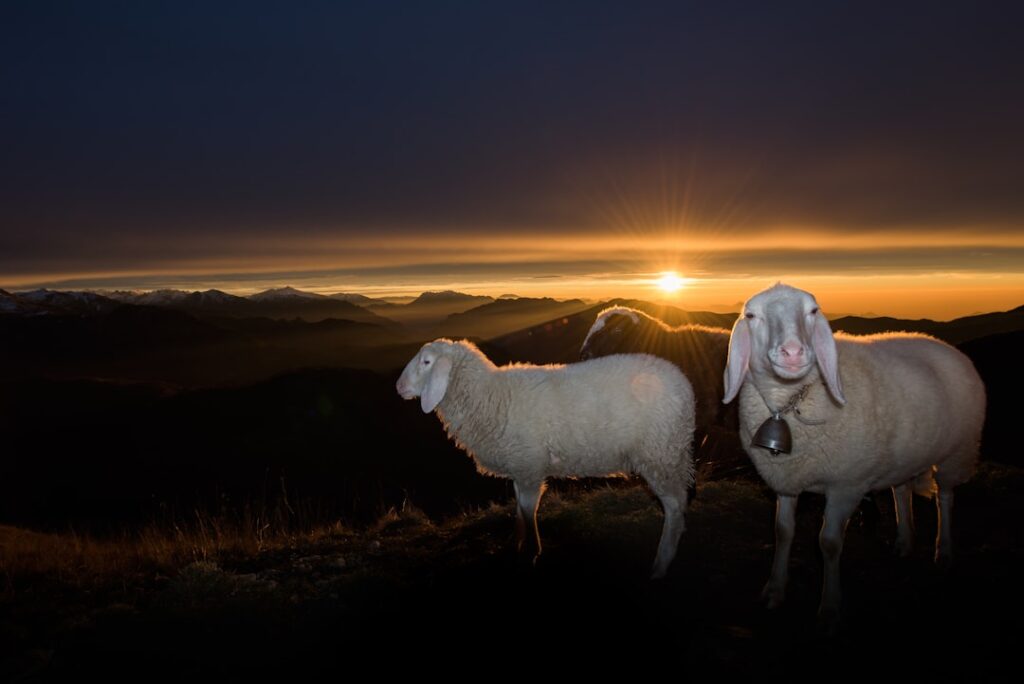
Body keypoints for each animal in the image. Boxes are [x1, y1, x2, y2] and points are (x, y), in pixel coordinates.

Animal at [396, 338, 696, 578]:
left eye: (426, 362)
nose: (398, 386)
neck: (491, 397)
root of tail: (684, 387)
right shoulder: (519, 466)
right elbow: (519, 508)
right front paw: (517, 543)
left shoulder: (530, 466)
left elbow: (529, 509)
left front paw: (531, 552)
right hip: (669, 453)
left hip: (660, 454)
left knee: (674, 505)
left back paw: (661, 562)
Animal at [722, 283, 985, 626]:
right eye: (751, 315)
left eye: (813, 311)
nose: (793, 352)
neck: (789, 402)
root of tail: (942, 344)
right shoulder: (787, 479)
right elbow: (783, 532)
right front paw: (775, 591)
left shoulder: (846, 485)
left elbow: (829, 543)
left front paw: (830, 606)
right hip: (903, 457)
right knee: (902, 491)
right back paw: (905, 541)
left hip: (957, 451)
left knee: (945, 497)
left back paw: (944, 552)